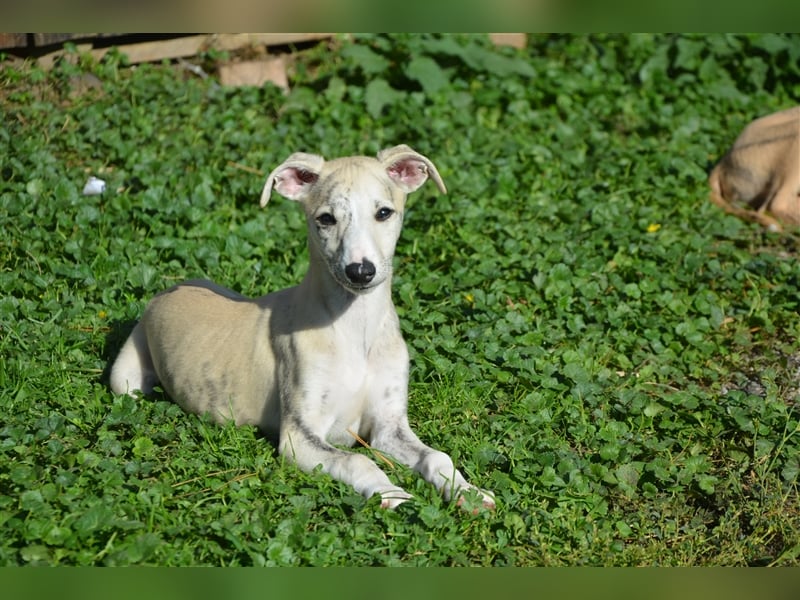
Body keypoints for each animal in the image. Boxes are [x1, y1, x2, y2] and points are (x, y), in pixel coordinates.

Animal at [106, 144, 494, 510]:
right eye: (326, 218)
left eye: (383, 212)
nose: (360, 272)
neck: (354, 328)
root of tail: (170, 288)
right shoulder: (297, 436)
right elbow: (357, 461)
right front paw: (392, 493)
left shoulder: (388, 426)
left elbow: (436, 455)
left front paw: (468, 493)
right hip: (125, 379)